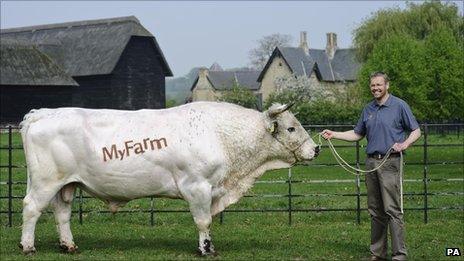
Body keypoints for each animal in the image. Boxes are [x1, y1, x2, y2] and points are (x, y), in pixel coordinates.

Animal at [20, 101, 320, 254]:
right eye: (292, 128)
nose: (316, 148)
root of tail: (43, 113)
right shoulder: (198, 187)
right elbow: (203, 221)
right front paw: (206, 249)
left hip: (66, 184)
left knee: (62, 213)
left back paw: (69, 245)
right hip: (46, 182)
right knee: (31, 209)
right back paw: (28, 246)